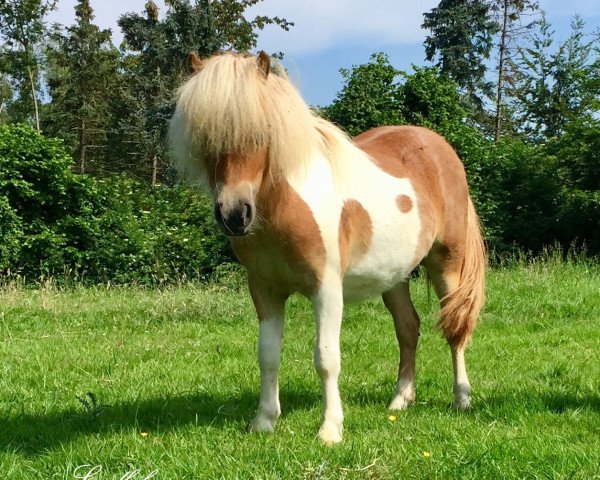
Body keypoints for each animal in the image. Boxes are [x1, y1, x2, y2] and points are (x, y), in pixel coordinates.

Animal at [166, 50, 486, 444]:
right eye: (203, 138)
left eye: (262, 133)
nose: (234, 214)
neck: (284, 209)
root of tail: (441, 148)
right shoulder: (265, 290)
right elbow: (267, 355)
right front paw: (264, 421)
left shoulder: (327, 288)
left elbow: (326, 357)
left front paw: (330, 428)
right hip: (394, 276)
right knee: (408, 327)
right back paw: (400, 400)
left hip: (446, 263)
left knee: (455, 327)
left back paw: (462, 399)